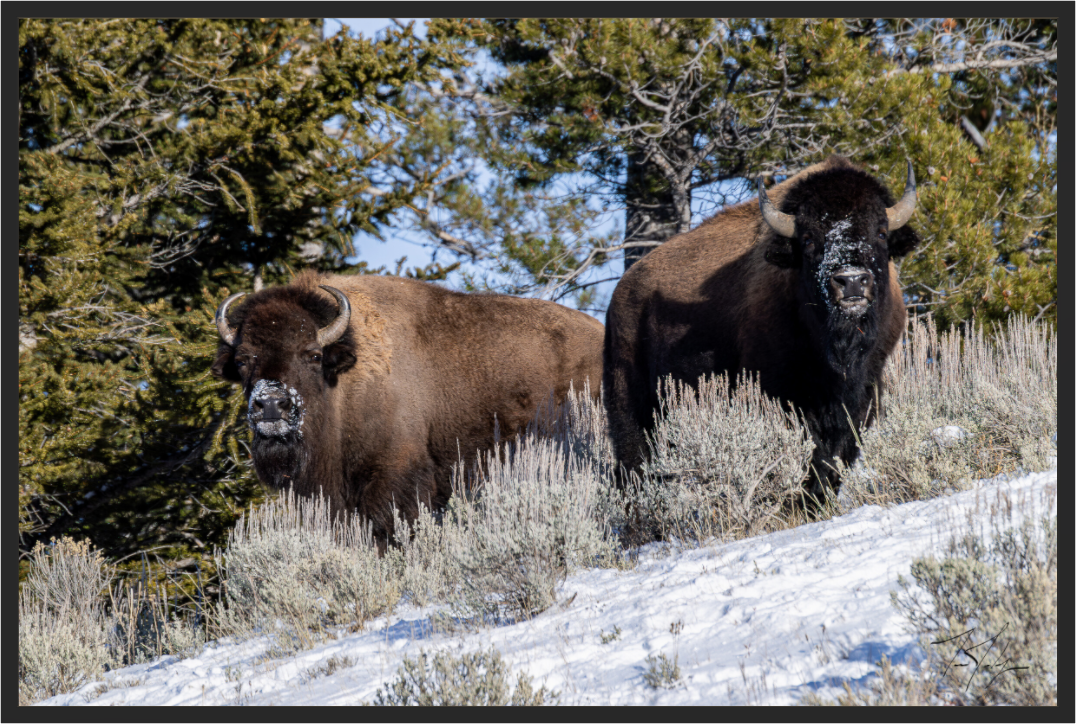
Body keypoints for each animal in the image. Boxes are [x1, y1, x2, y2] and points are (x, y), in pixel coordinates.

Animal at [603, 155, 919, 504]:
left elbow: (833, 460)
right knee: (633, 463)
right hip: (630, 404)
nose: (851, 281)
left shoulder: (862, 398)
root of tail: (621, 292)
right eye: (808, 239)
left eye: (881, 232)